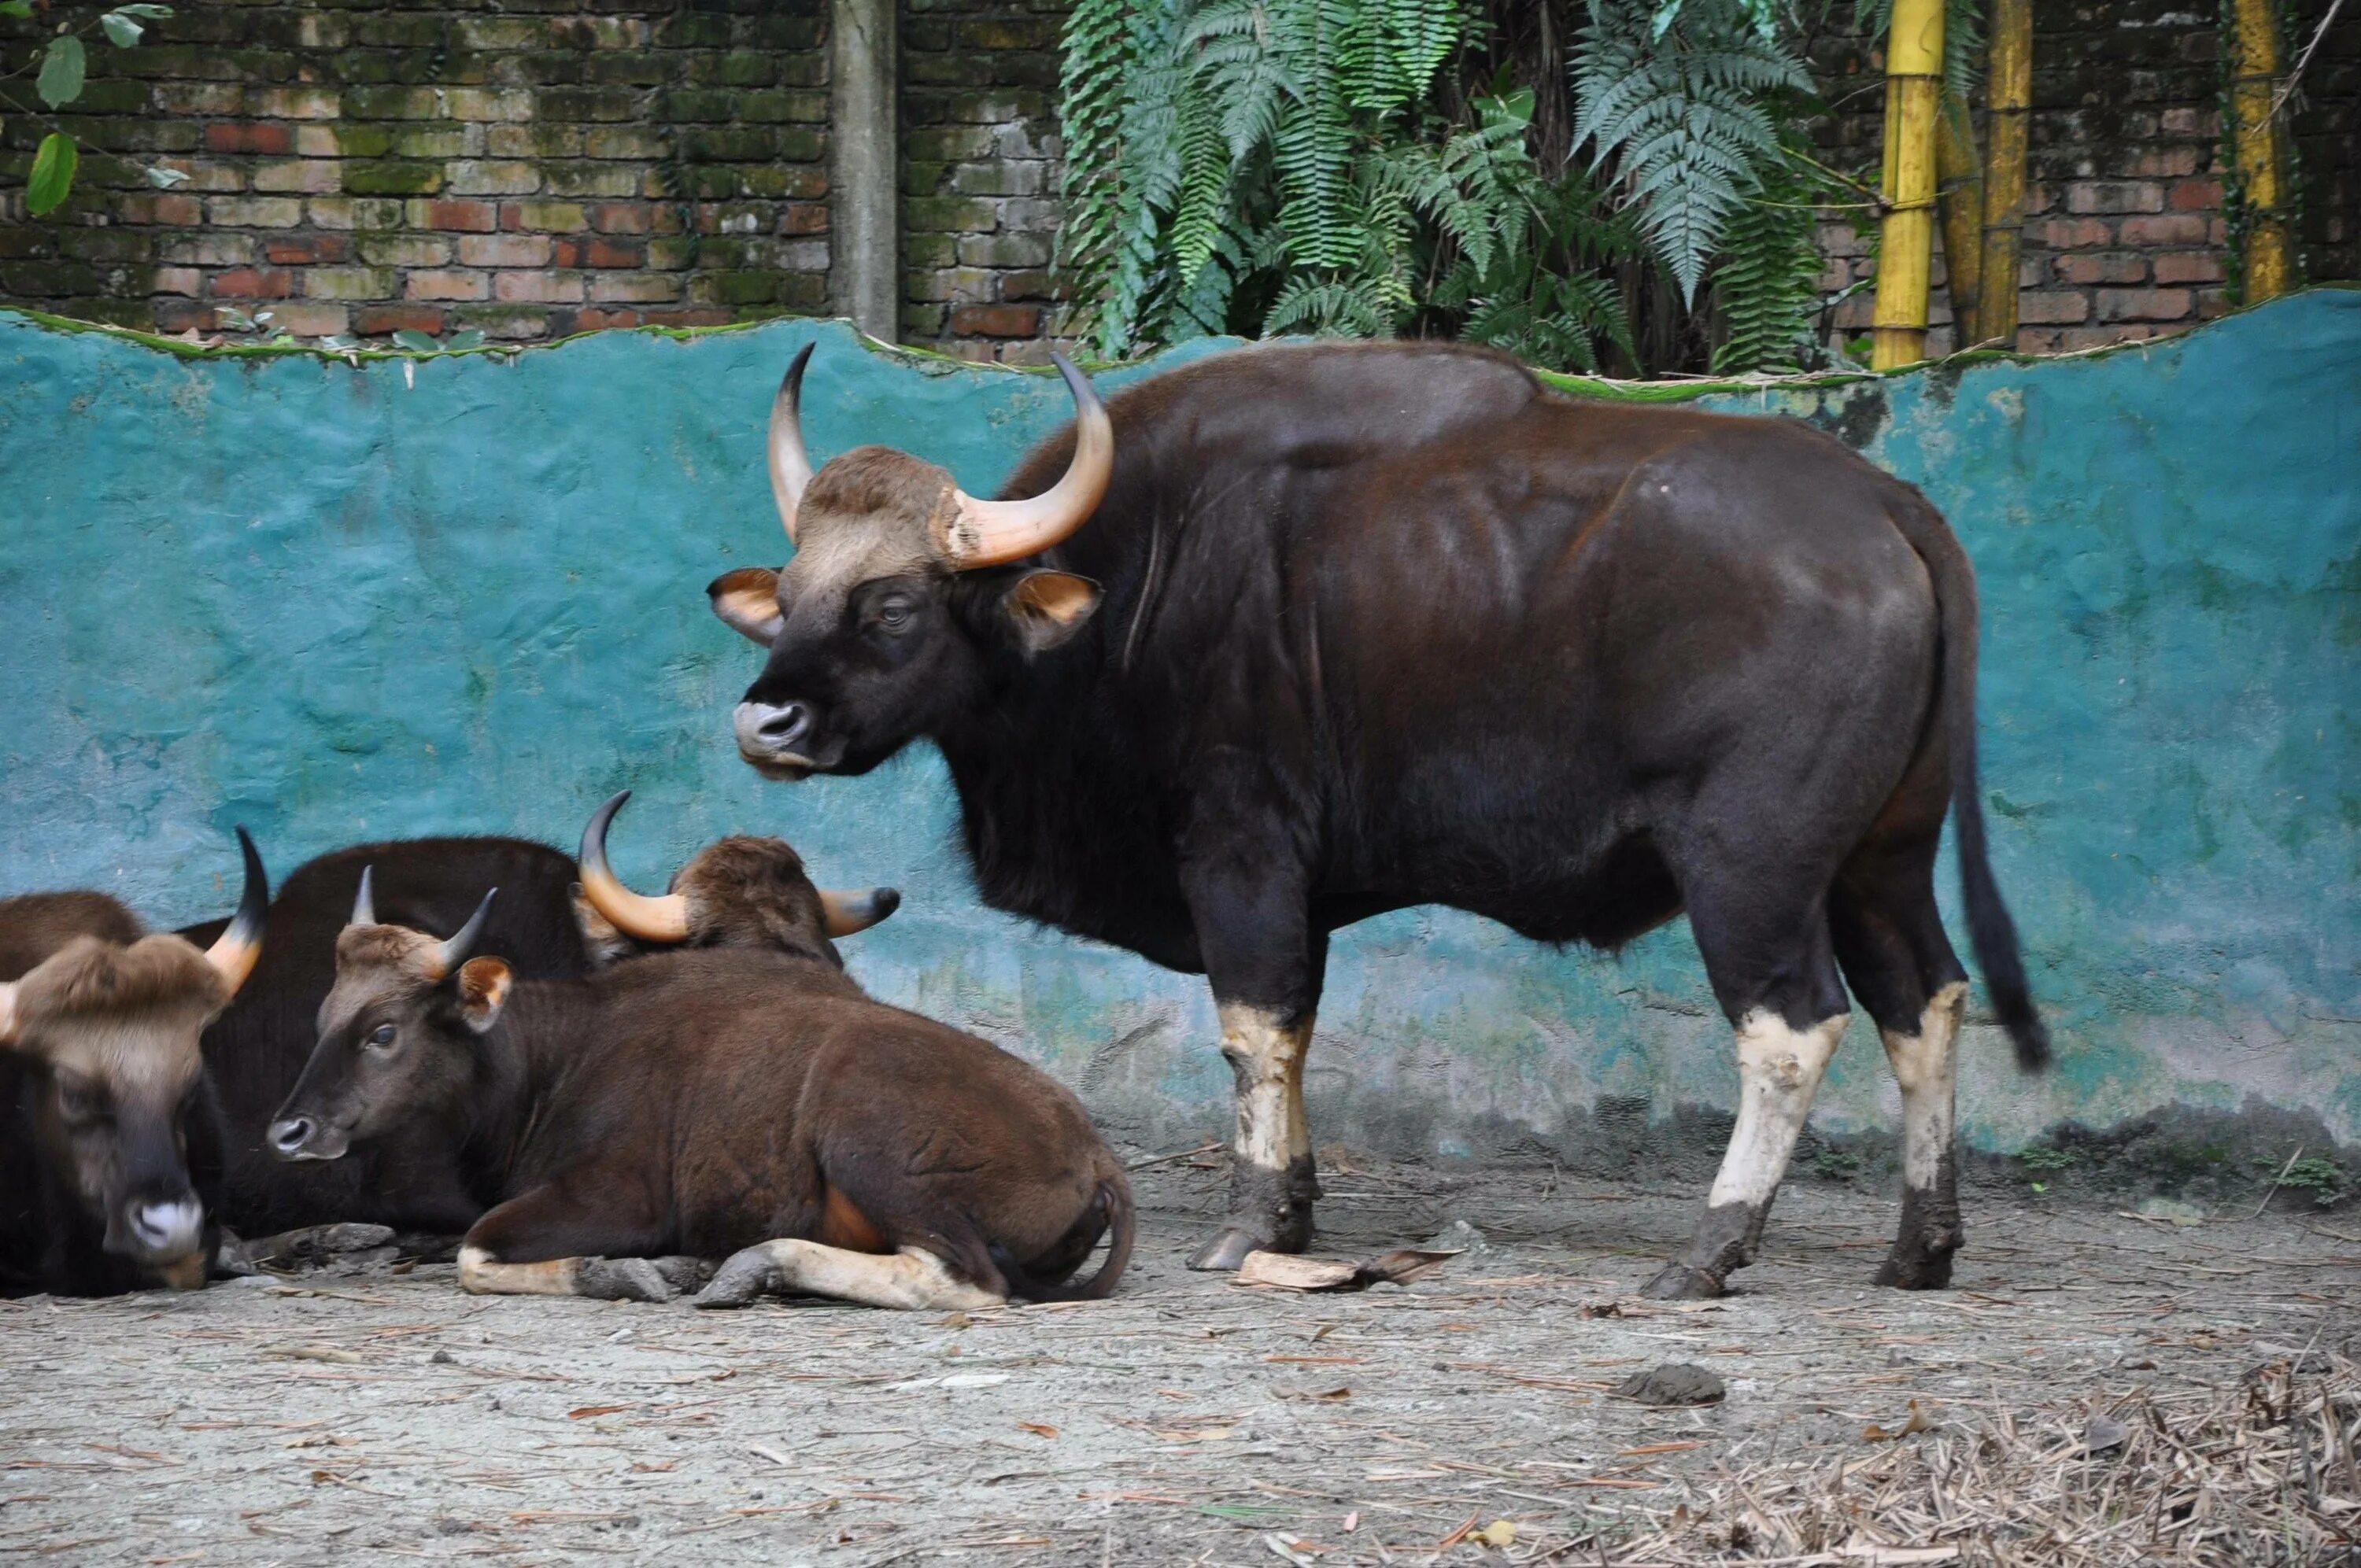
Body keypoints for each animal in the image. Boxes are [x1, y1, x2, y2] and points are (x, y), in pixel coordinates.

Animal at [268, 798, 1133, 1312]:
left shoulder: (619, 1198)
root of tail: (1096, 1154)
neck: (557, 1055)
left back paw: (757, 1264)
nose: (290, 1130)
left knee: (966, 1280)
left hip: (873, 1150)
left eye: (384, 1030)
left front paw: (624, 1271)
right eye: (324, 1016)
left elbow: (475, 1252)